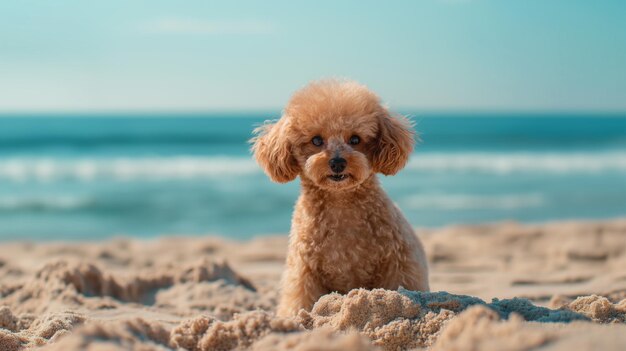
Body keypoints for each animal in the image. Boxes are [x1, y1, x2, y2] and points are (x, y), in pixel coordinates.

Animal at [251, 79, 426, 316]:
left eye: (355, 139)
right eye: (316, 140)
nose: (337, 162)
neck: (340, 202)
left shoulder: (398, 264)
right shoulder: (304, 272)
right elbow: (300, 300)